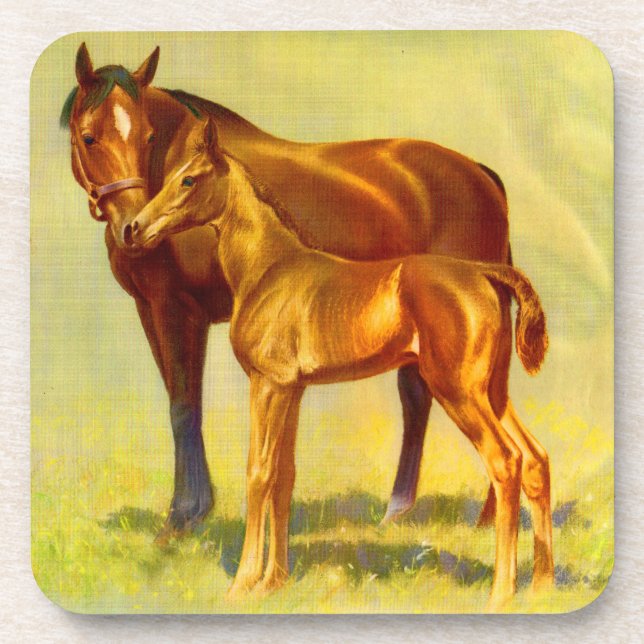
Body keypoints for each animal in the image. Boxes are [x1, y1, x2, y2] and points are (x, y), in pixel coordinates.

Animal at [62, 43, 515, 538]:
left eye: (146, 137)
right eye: (89, 137)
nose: (133, 226)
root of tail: (481, 174)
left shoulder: (178, 311)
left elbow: (184, 406)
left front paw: (183, 516)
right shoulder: (152, 311)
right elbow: (180, 403)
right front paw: (195, 510)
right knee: (428, 400)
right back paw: (405, 510)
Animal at [130, 117, 554, 610]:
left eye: (189, 179)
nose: (135, 228)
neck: (270, 269)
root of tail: (482, 272)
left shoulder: (267, 384)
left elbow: (259, 473)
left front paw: (242, 583)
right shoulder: (292, 389)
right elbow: (284, 477)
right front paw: (275, 580)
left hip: (459, 392)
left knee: (505, 462)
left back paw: (501, 593)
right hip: (493, 391)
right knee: (535, 458)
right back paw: (543, 585)